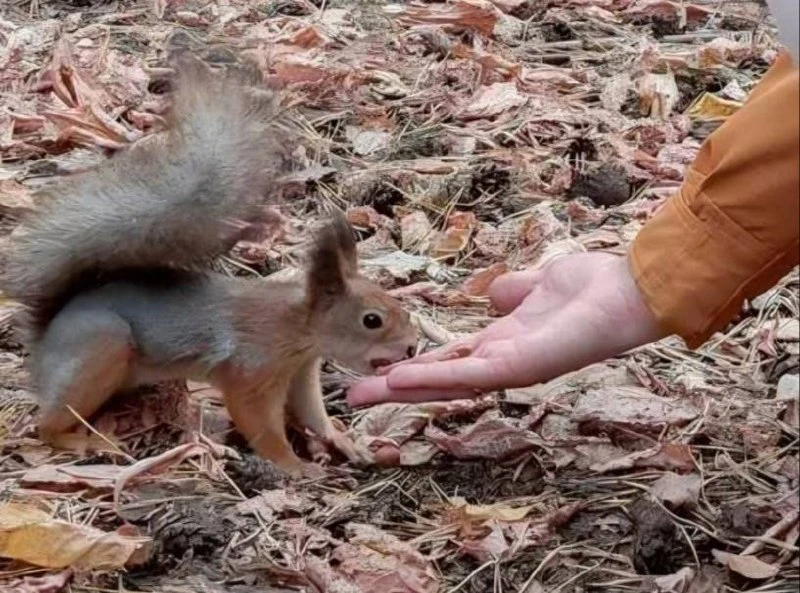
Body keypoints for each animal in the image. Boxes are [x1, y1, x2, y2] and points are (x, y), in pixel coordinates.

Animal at [1, 56, 418, 477]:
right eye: (371, 320)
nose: (413, 346)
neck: (297, 326)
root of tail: (43, 345)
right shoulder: (253, 367)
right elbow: (259, 423)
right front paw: (293, 465)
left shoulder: (301, 371)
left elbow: (312, 414)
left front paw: (343, 441)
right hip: (101, 347)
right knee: (46, 427)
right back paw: (83, 440)